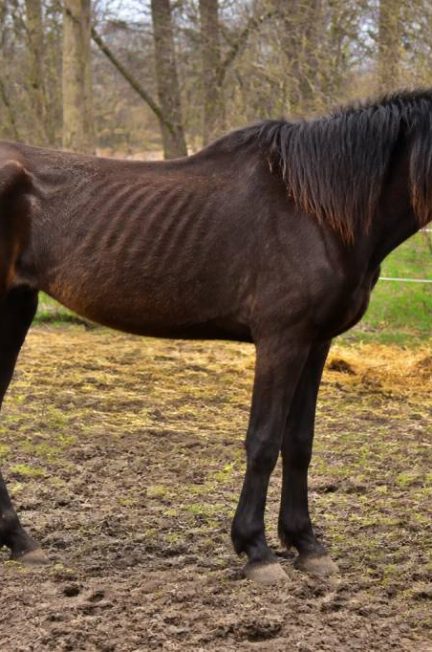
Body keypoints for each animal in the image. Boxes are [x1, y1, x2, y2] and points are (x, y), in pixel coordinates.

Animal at [0, 89, 430, 584]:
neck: (315, 210)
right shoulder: (281, 341)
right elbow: (263, 441)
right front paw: (257, 550)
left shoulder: (315, 343)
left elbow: (299, 442)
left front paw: (307, 545)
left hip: (16, 308)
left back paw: (21, 541)